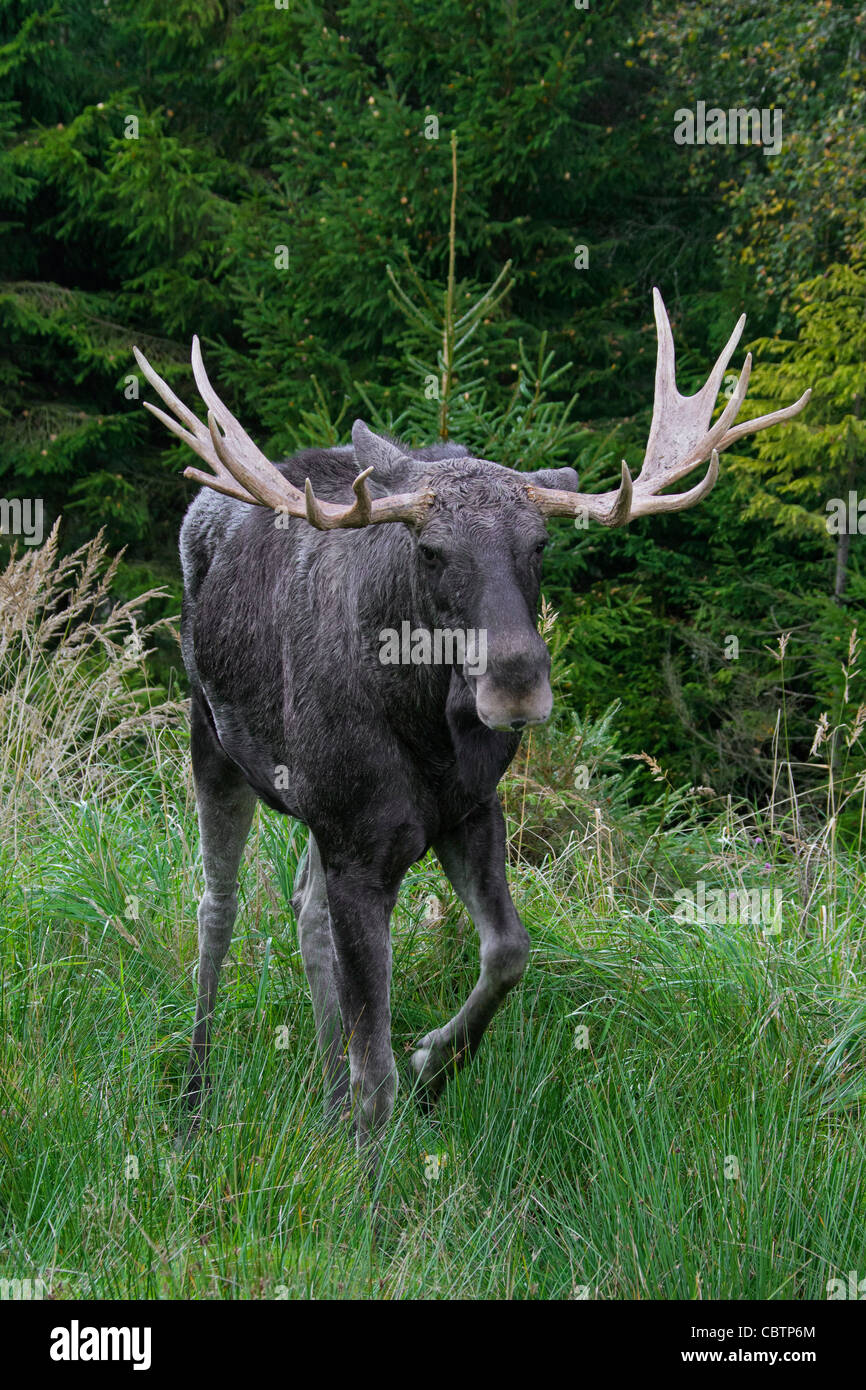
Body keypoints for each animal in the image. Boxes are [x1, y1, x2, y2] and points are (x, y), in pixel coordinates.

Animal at [132, 290, 811, 1150]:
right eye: (429, 550)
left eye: (542, 542)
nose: (516, 682)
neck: (423, 734)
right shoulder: (357, 841)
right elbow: (377, 1067)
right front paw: (373, 1156)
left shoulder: (460, 813)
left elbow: (507, 953)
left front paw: (434, 1065)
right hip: (211, 740)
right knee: (215, 908)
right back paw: (194, 1103)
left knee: (303, 910)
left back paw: (323, 1099)